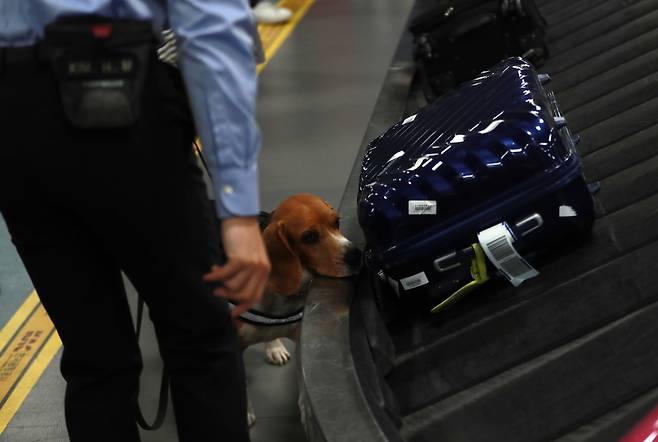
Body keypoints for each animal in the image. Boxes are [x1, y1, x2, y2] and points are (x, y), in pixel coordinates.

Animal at [234, 193, 362, 424]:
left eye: (336, 223)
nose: (356, 255)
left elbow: (302, 377)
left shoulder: (303, 339)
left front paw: (306, 410)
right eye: (309, 237)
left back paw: (274, 347)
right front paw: (244, 412)